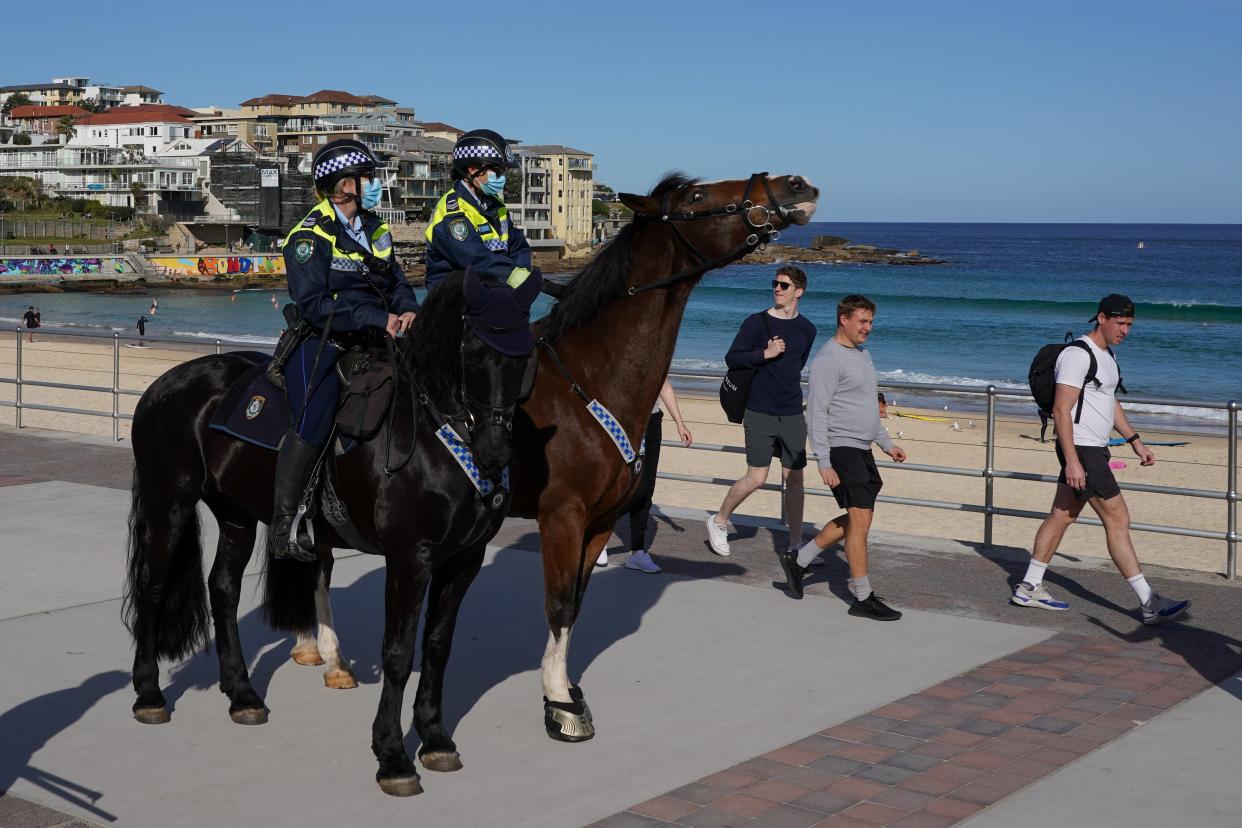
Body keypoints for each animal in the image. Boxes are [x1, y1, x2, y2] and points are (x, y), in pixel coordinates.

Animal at [119, 270, 539, 794]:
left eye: (525, 357)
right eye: (476, 352)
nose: (496, 452)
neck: (431, 433)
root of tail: (165, 384)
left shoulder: (464, 560)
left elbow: (438, 647)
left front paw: (436, 739)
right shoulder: (410, 557)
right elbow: (399, 652)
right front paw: (392, 755)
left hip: (236, 514)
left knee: (223, 589)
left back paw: (242, 694)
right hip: (168, 507)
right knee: (153, 587)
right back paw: (149, 694)